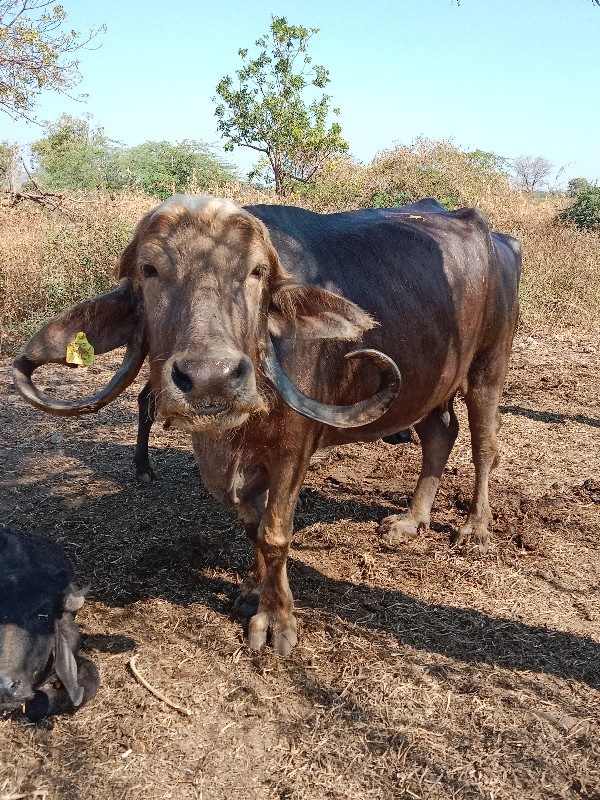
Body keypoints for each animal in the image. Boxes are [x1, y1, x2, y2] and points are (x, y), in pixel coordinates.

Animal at [12, 197, 520, 652]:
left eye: (256, 272)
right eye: (150, 270)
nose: (211, 377)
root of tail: (496, 236)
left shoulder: (293, 450)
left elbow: (276, 534)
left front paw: (276, 620)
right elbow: (253, 528)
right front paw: (253, 592)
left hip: (489, 366)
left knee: (484, 444)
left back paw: (476, 528)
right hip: (431, 382)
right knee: (440, 433)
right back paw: (412, 519)